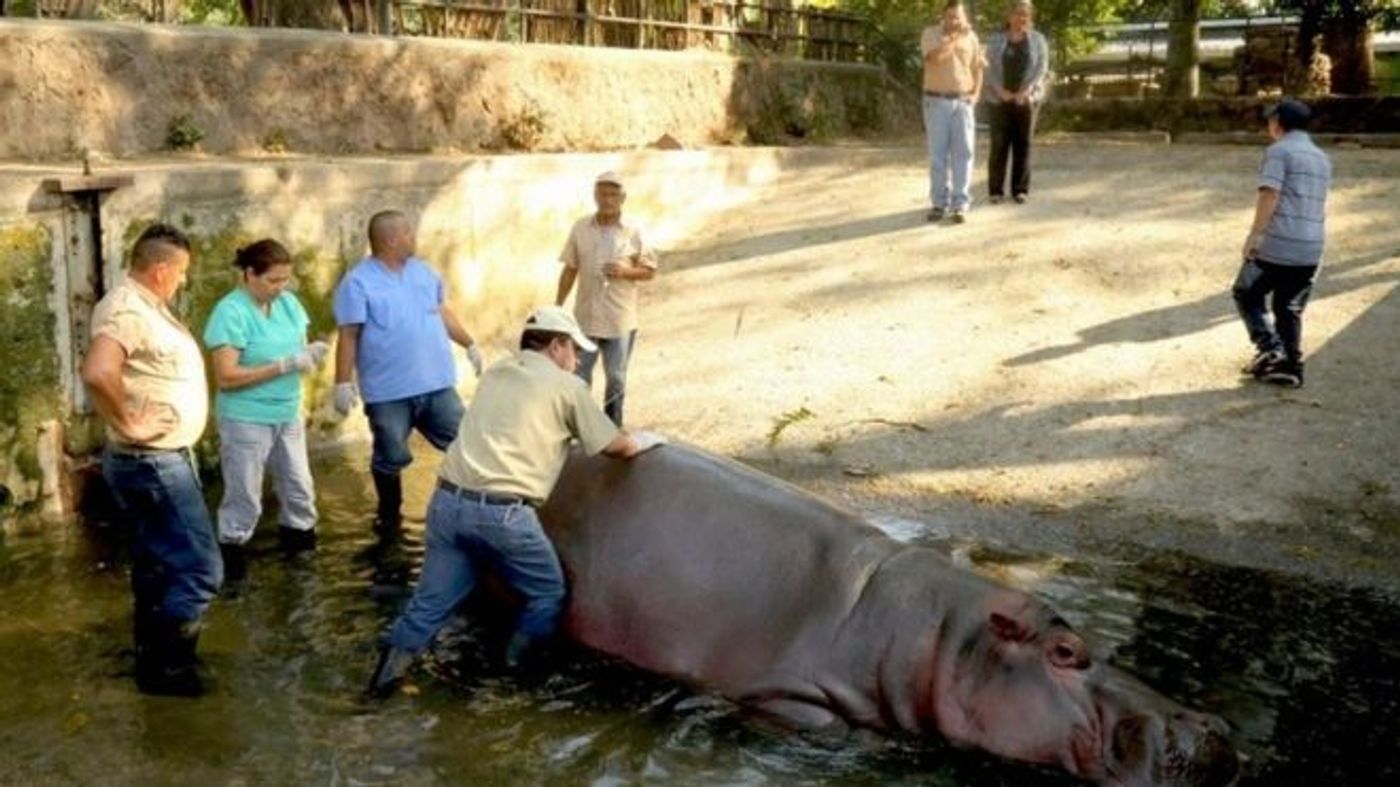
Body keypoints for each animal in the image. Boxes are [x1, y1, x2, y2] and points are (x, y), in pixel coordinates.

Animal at [534, 445, 1237, 778]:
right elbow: (835, 729)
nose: (1207, 727)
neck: (943, 637)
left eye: (1093, 641)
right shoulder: (784, 690)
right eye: (1065, 652)